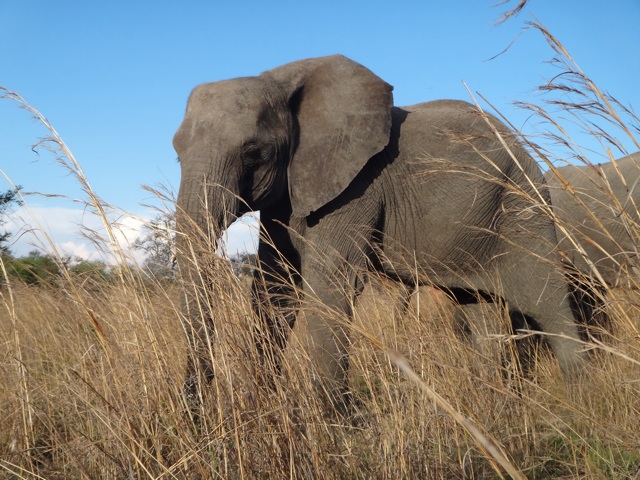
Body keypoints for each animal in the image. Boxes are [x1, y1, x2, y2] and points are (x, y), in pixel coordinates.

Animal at [172, 54, 588, 414]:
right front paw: (262, 404)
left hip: (523, 205)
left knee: (545, 299)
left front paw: (333, 423)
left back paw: (579, 400)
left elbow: (330, 283)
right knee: (480, 308)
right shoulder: (289, 194)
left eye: (253, 152)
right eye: (177, 153)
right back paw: (493, 400)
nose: (197, 408)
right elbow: (275, 288)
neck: (281, 80)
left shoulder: (357, 186)